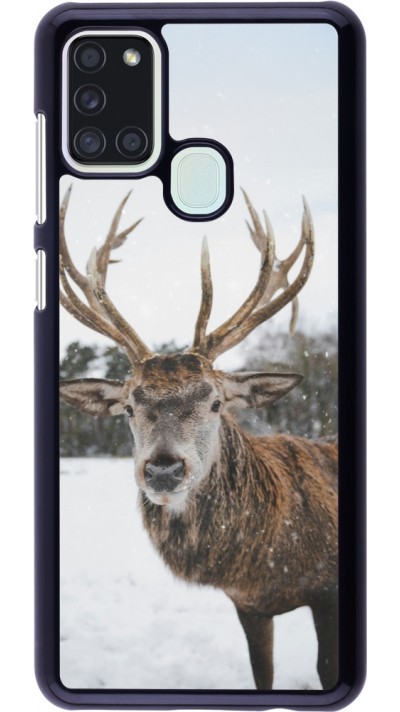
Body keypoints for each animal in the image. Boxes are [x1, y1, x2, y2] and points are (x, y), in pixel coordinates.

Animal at [59, 186, 338, 691]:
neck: (268, 563)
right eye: (128, 407)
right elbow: (262, 674)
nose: (163, 469)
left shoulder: (328, 591)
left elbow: (327, 669)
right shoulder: (248, 605)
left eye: (215, 402)